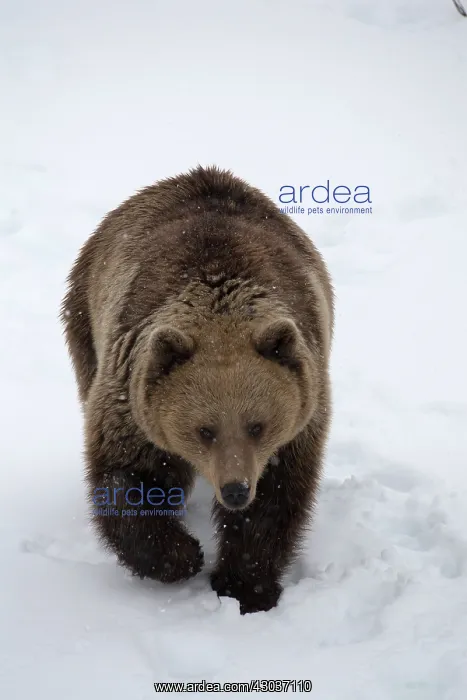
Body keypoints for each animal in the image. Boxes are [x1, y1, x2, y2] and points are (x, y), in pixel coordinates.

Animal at [60, 165, 334, 614]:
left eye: (257, 425)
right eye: (205, 430)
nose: (235, 490)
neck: (219, 308)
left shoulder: (301, 417)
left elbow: (276, 499)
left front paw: (246, 586)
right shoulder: (131, 396)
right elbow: (127, 477)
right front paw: (180, 556)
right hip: (85, 320)